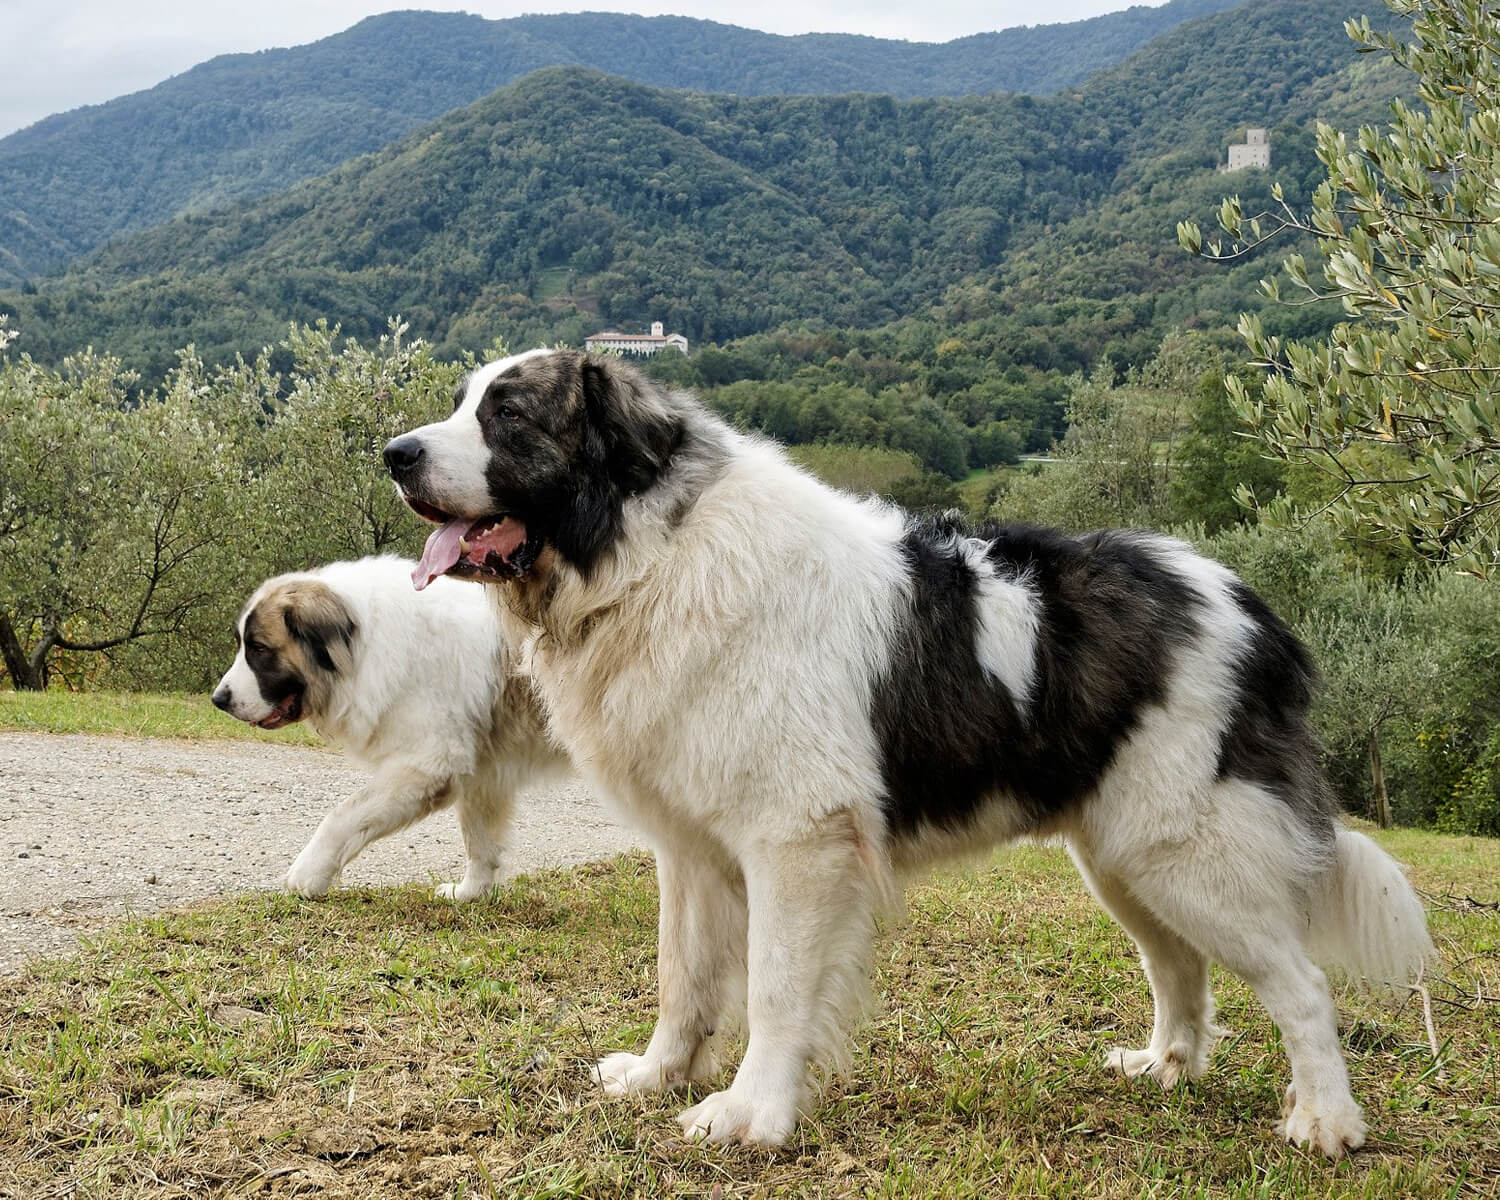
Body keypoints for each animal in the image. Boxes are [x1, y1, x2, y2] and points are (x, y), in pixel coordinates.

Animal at [210, 552, 564, 900]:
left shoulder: (426, 764)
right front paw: (470, 893)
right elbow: (480, 841)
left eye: (259, 649)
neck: (364, 646)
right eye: (244, 645)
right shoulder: (480, 772)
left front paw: (308, 874)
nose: (218, 699)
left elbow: (342, 816)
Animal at [384, 346, 1428, 1152]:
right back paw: (1163, 1067)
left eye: (509, 414)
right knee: (1180, 969)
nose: (394, 453)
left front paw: (751, 1116)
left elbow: (774, 989)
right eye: (461, 401)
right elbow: (685, 978)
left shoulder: (797, 844)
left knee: (1302, 986)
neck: (652, 555)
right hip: (1126, 858)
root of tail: (1249, 608)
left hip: (1192, 852)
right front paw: (657, 1076)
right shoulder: (690, 850)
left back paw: (1328, 1124)